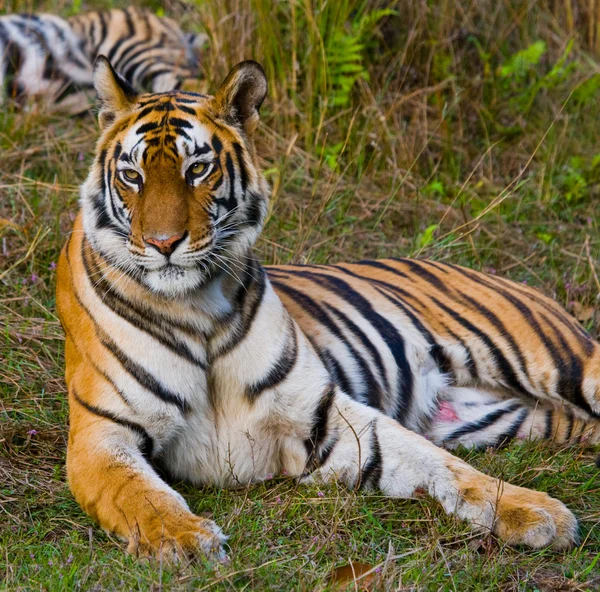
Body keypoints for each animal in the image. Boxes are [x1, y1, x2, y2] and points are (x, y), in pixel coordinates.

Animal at [56, 54, 600, 560]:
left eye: (198, 169)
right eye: (132, 175)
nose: (163, 243)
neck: (197, 308)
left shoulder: (321, 417)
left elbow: (438, 462)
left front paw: (533, 509)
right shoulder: (101, 435)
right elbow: (140, 496)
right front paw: (186, 540)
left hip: (565, 365)